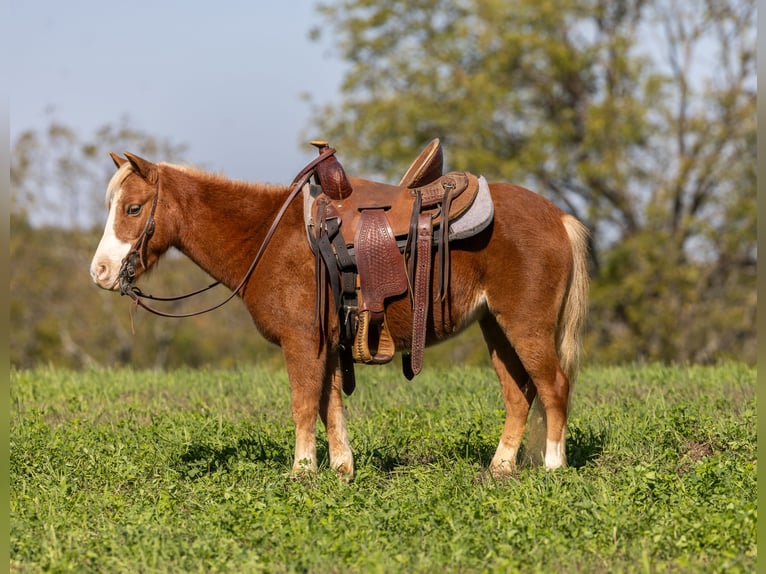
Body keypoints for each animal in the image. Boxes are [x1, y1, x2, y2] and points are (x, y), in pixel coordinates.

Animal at [89, 149, 589, 480]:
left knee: (553, 386)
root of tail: (558, 217)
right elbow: (330, 404)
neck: (269, 237)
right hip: (496, 327)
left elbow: (304, 403)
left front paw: (302, 472)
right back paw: (500, 467)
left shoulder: (302, 341)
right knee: (519, 394)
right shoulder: (328, 345)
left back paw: (553, 466)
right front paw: (341, 468)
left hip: (526, 325)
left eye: (133, 208)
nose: (100, 271)